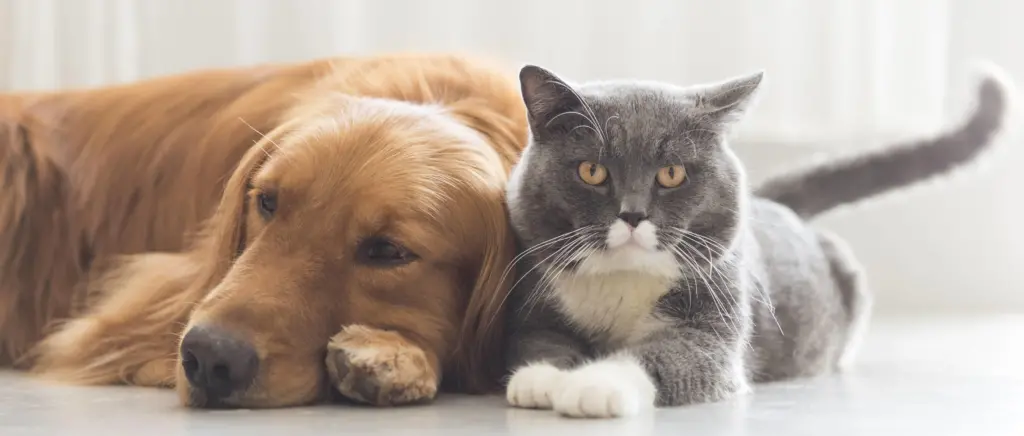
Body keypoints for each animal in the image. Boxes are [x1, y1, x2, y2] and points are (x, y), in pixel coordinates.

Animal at [499, 62, 1011, 419]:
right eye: (592, 171)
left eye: (672, 173)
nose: (632, 213)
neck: (624, 277)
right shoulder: (536, 305)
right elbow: (539, 341)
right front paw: (543, 378)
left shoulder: (714, 326)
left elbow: (660, 356)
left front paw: (593, 385)